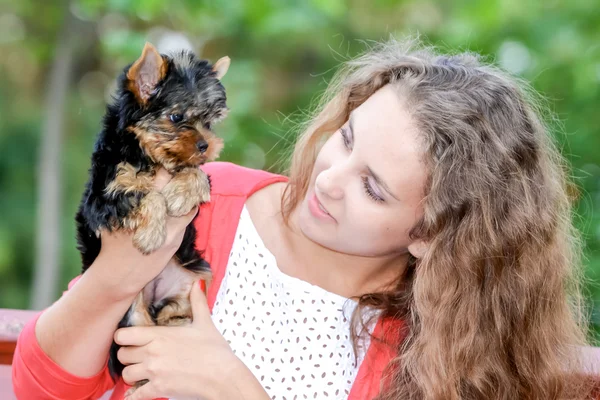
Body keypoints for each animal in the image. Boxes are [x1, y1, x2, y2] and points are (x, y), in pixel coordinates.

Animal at [76, 43, 231, 388]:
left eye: (209, 122)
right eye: (177, 117)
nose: (206, 145)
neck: (149, 157)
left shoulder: (195, 171)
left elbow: (197, 176)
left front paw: (180, 193)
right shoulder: (104, 197)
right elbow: (147, 195)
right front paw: (152, 234)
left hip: (190, 280)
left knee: (173, 313)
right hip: (131, 317)